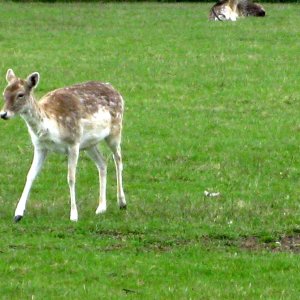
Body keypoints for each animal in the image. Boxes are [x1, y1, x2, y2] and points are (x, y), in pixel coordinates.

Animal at [0, 69, 126, 221]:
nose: (3, 114)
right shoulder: (40, 147)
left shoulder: (73, 143)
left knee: (118, 159)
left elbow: (71, 178)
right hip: (89, 144)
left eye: (20, 94)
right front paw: (18, 214)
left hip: (115, 129)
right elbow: (30, 175)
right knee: (102, 162)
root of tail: (115, 90)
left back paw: (122, 202)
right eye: (4, 93)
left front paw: (74, 215)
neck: (51, 127)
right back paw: (101, 207)